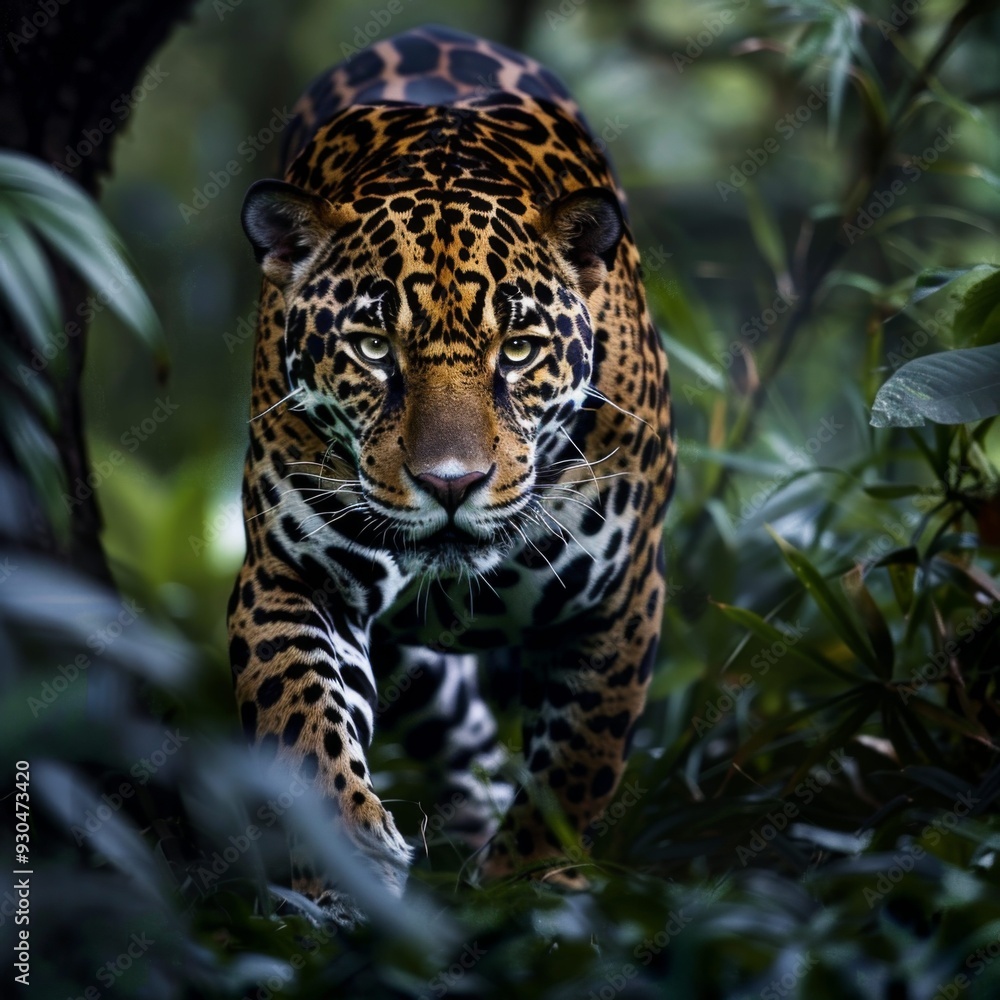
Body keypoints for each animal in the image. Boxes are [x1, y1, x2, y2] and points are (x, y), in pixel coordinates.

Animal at [228, 23, 675, 924]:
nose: (450, 483)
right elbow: (299, 722)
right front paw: (342, 870)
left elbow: (576, 769)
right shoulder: (291, 576)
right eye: (373, 349)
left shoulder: (621, 602)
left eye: (520, 350)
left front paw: (527, 892)